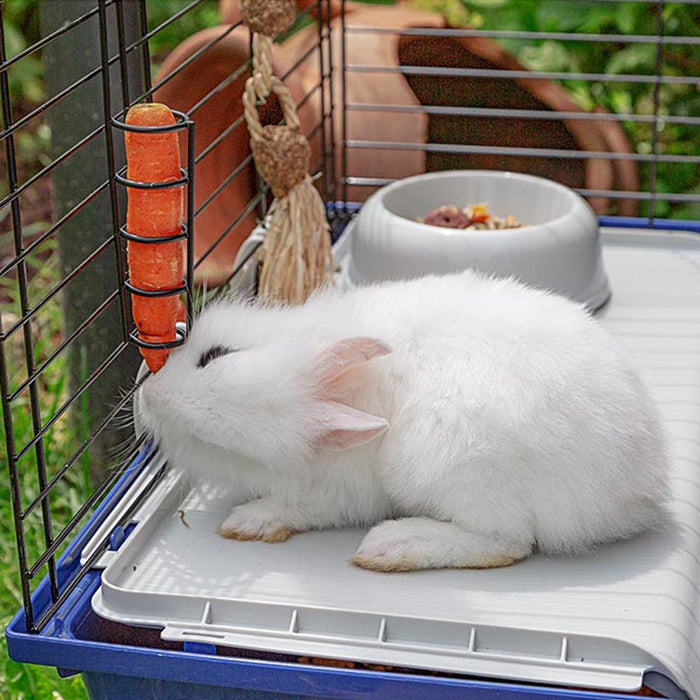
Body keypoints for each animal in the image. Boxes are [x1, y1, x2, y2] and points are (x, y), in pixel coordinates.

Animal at [136, 269, 669, 572]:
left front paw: (248, 522)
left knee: (508, 542)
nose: (146, 397)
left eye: (215, 356)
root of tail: (638, 490)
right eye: (217, 446)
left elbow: (299, 508)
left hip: (450, 463)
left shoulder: (339, 493)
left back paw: (392, 546)